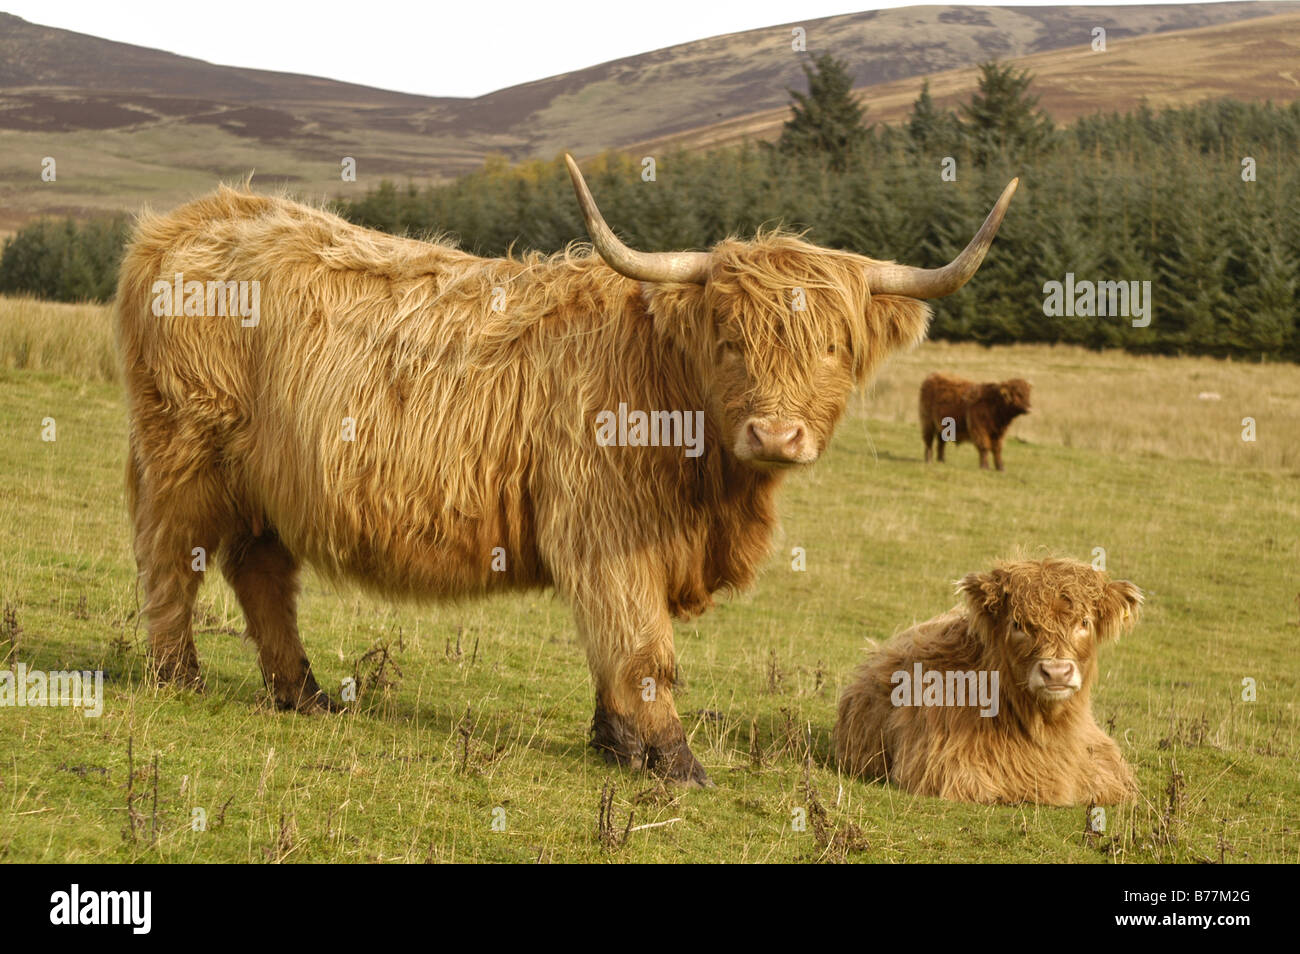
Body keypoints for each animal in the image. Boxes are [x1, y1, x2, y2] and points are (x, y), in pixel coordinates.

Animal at [114, 155, 1017, 786]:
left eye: (831, 345)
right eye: (729, 339)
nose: (776, 432)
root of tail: (198, 215)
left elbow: (616, 647)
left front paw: (613, 743)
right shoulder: (606, 529)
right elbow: (640, 645)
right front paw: (672, 762)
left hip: (263, 481)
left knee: (260, 569)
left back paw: (299, 692)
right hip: (184, 451)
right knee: (171, 557)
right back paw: (177, 675)